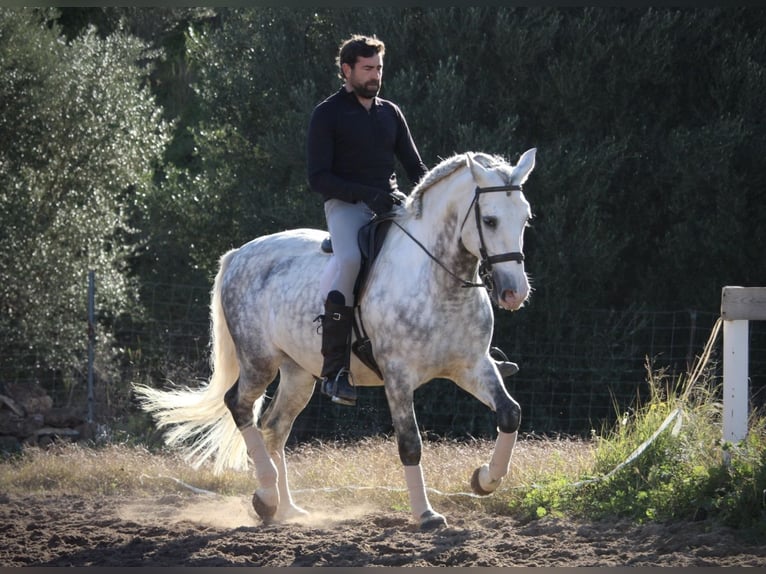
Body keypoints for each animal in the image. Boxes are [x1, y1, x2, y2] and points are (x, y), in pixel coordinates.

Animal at [134, 148, 537, 530]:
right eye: (490, 220)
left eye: (525, 218)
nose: (514, 293)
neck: (438, 280)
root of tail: (238, 255)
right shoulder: (398, 377)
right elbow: (410, 444)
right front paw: (426, 515)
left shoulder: (472, 366)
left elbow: (510, 413)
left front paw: (484, 480)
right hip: (259, 361)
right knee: (240, 406)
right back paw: (266, 497)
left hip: (298, 372)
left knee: (275, 427)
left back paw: (288, 508)